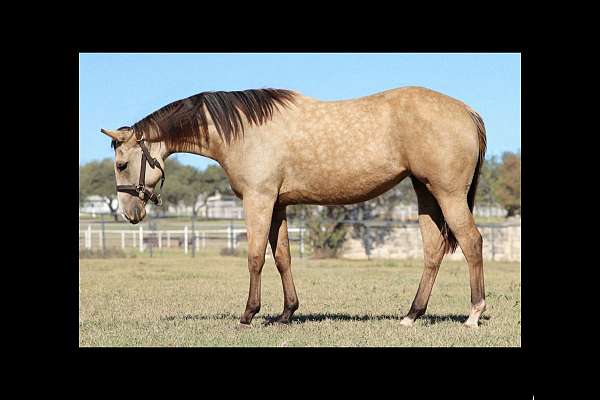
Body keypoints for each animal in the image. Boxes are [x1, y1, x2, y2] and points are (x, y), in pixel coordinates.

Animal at [102, 86, 488, 326]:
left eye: (121, 164)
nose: (129, 214)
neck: (244, 130)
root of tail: (468, 112)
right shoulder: (278, 205)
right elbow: (282, 257)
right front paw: (287, 313)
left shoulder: (258, 200)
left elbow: (255, 257)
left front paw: (248, 314)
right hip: (426, 194)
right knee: (433, 250)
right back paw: (412, 314)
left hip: (448, 194)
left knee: (471, 242)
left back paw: (473, 314)